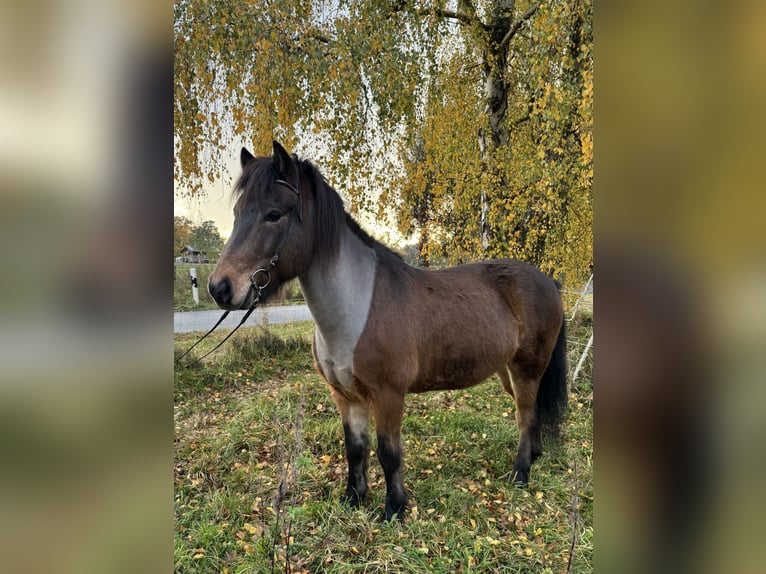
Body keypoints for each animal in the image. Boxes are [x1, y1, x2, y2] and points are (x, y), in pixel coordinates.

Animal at [208, 141, 568, 521]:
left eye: (274, 214)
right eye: (237, 213)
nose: (220, 288)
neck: (357, 308)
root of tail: (547, 281)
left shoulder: (388, 395)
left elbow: (388, 453)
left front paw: (394, 508)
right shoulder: (345, 397)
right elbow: (355, 449)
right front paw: (354, 498)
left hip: (527, 369)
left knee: (524, 415)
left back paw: (521, 473)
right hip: (508, 372)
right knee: (531, 412)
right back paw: (534, 457)